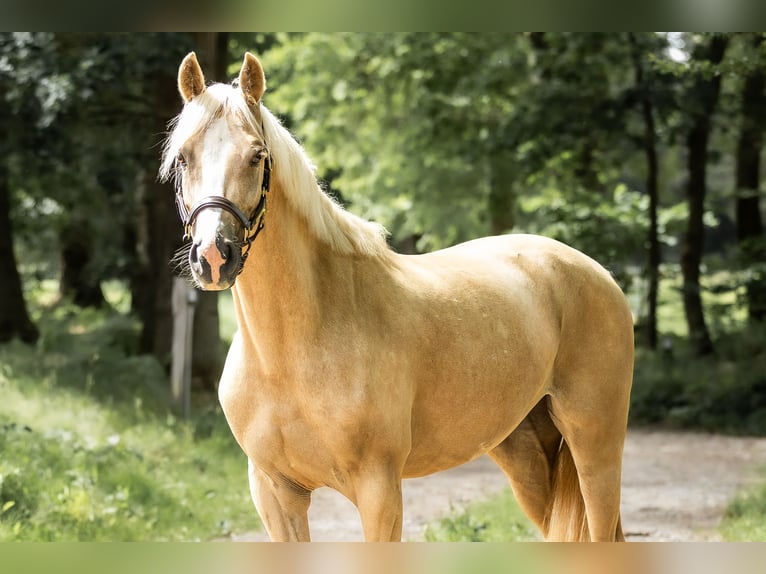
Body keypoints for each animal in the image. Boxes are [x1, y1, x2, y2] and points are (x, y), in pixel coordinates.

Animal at [160, 51, 634, 542]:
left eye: (257, 156)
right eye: (183, 159)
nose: (214, 256)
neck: (291, 353)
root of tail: (595, 273)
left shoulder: (379, 490)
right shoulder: (275, 493)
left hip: (595, 448)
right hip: (527, 457)